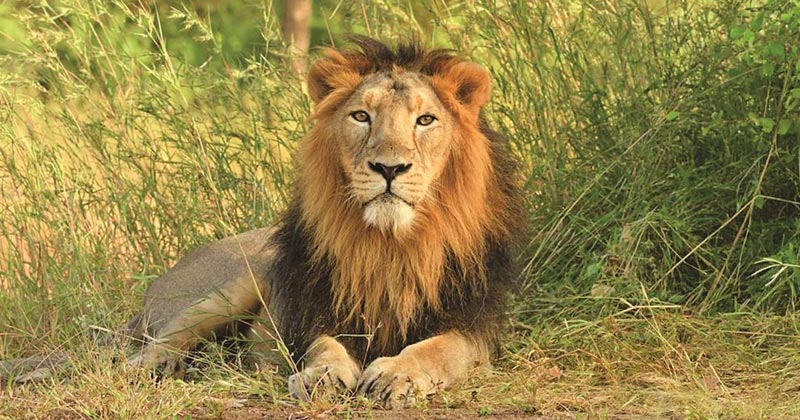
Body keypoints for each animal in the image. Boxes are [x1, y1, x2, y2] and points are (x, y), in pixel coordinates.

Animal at [1, 37, 524, 409]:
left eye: (425, 120)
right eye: (361, 116)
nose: (389, 169)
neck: (389, 242)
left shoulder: (475, 324)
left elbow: (439, 349)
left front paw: (398, 372)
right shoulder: (314, 310)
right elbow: (324, 346)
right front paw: (322, 376)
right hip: (230, 285)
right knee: (139, 354)